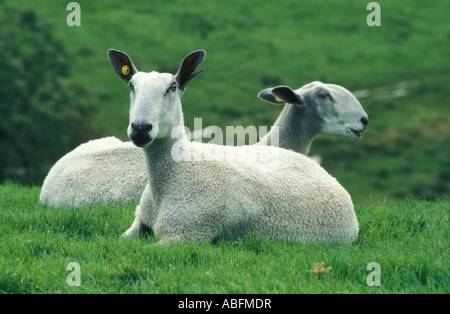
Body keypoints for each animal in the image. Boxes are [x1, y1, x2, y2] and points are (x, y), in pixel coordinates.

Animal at [109, 49, 358, 244]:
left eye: (172, 87)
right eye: (131, 85)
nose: (140, 128)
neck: (175, 173)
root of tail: (318, 167)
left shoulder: (186, 233)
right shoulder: (139, 222)